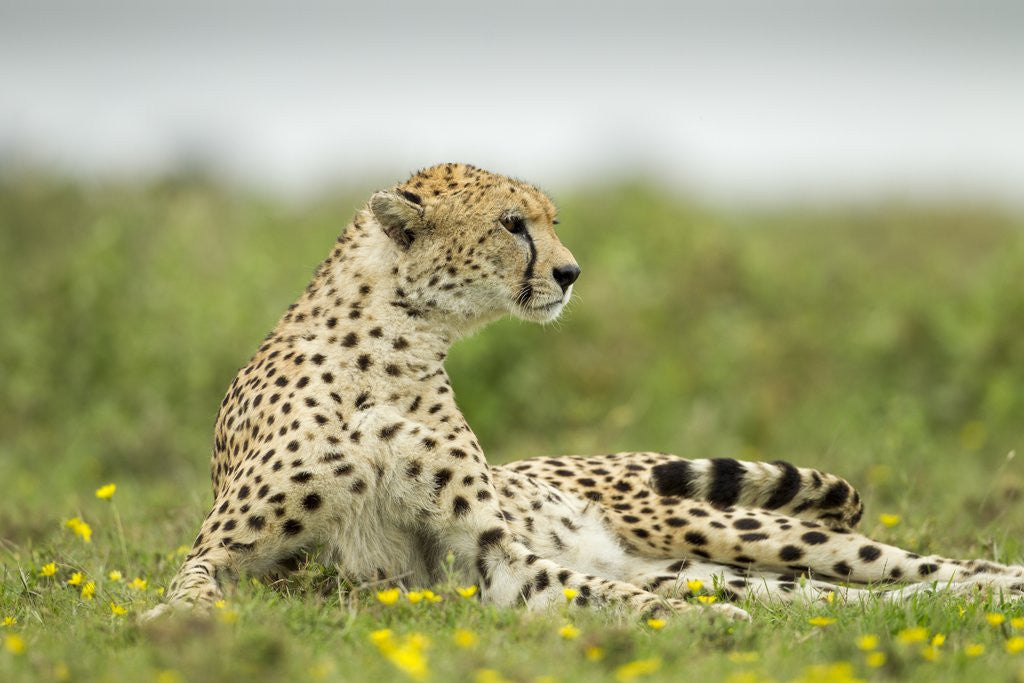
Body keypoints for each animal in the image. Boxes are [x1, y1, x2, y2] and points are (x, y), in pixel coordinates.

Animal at [144, 163, 1024, 622]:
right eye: (512, 224)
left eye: (552, 220)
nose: (569, 273)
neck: (396, 347)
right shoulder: (227, 546)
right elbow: (189, 582)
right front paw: (177, 620)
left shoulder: (490, 550)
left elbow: (585, 584)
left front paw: (700, 627)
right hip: (710, 562)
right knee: (844, 599)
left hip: (726, 527)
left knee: (928, 565)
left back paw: (1000, 585)